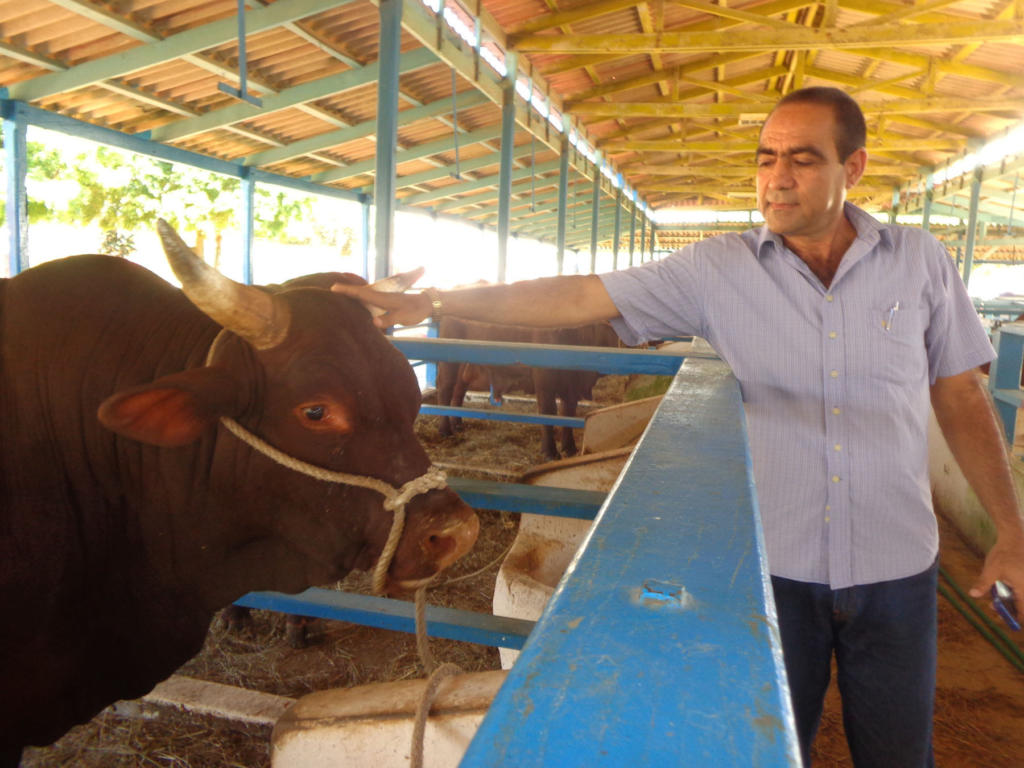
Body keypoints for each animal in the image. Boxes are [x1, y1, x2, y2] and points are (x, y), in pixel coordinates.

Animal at [436, 317, 618, 456]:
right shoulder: (544, 382)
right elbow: (548, 412)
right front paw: (549, 452)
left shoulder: (571, 387)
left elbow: (567, 413)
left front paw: (570, 448)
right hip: (448, 365)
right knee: (445, 391)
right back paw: (445, 430)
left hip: (463, 371)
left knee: (458, 394)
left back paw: (458, 425)